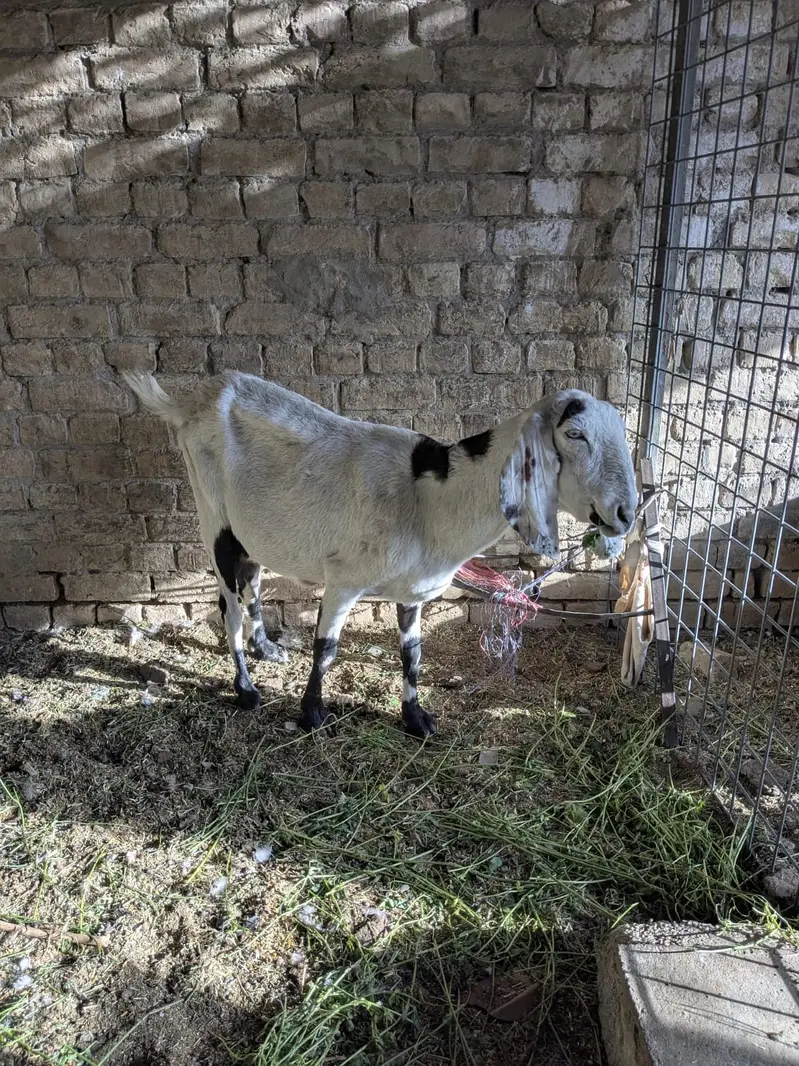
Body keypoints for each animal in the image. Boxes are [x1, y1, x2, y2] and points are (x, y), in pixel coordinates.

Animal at [123, 371, 638, 738]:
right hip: (214, 514)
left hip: (250, 531)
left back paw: (265, 647)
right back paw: (246, 689)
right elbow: (327, 647)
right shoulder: (344, 578)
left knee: (250, 580)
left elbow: (411, 652)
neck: (431, 502)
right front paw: (312, 713)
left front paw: (416, 718)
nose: (625, 513)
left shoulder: (414, 591)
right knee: (226, 603)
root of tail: (190, 403)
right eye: (575, 434)